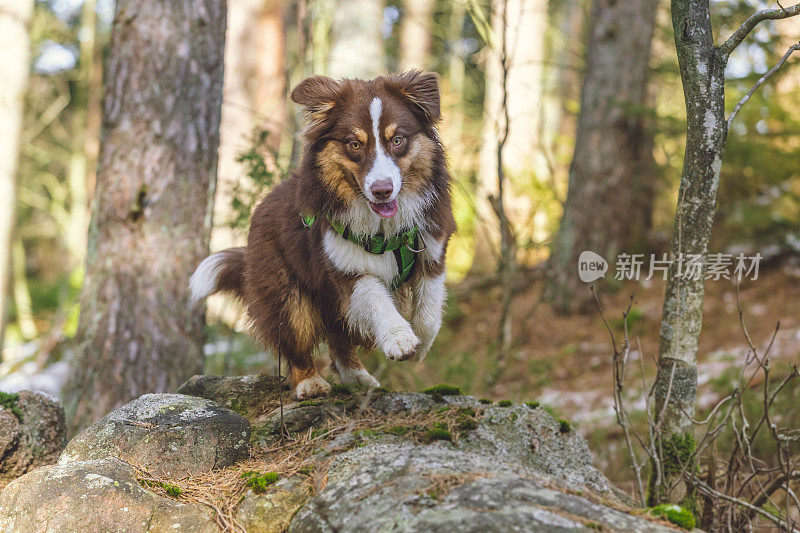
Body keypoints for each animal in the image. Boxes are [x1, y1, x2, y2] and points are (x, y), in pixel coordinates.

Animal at [186, 70, 450, 396]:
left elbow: (430, 308)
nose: (382, 190)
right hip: (285, 286)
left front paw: (421, 344)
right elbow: (375, 298)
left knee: (337, 334)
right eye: (354, 144)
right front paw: (400, 340)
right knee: (295, 334)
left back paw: (357, 378)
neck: (384, 228)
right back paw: (310, 382)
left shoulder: (431, 247)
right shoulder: (344, 263)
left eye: (398, 139)